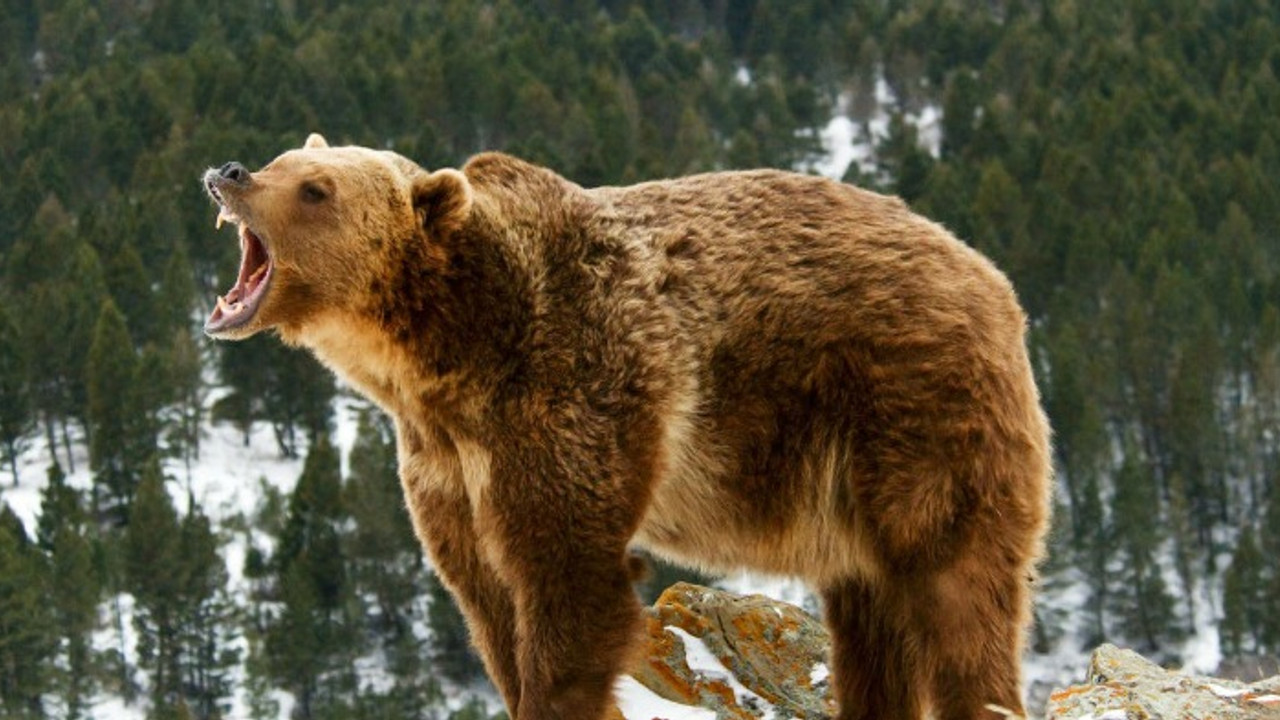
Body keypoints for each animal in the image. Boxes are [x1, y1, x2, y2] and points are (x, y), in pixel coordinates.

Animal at [204, 133, 1054, 717]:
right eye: (285, 158)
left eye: (316, 189)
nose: (230, 172)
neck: (449, 357)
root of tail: (995, 281)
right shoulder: (445, 463)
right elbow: (487, 601)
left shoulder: (571, 393)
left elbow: (569, 584)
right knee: (871, 619)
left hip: (916, 414)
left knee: (956, 591)